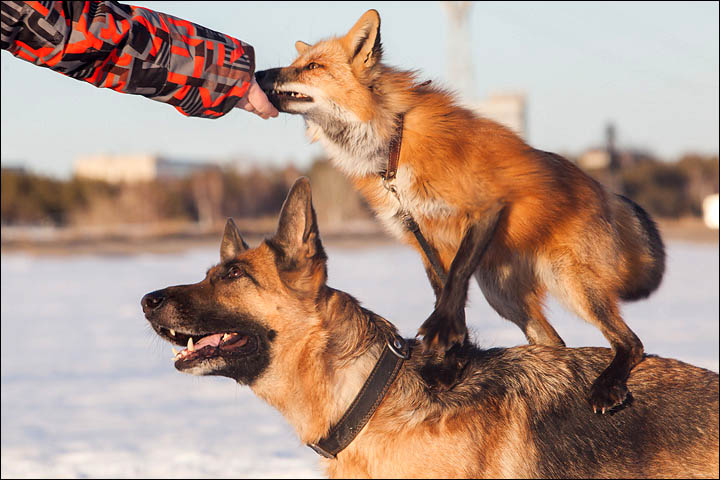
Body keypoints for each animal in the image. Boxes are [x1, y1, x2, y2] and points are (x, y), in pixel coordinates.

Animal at [256, 8, 668, 412]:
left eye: (313, 67)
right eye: (296, 63)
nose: (259, 74)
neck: (393, 144)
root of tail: (605, 191)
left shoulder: (484, 208)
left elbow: (454, 284)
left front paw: (443, 338)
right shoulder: (423, 238)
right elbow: (448, 296)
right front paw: (451, 364)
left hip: (570, 283)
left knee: (631, 342)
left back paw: (608, 385)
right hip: (503, 294)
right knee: (555, 342)